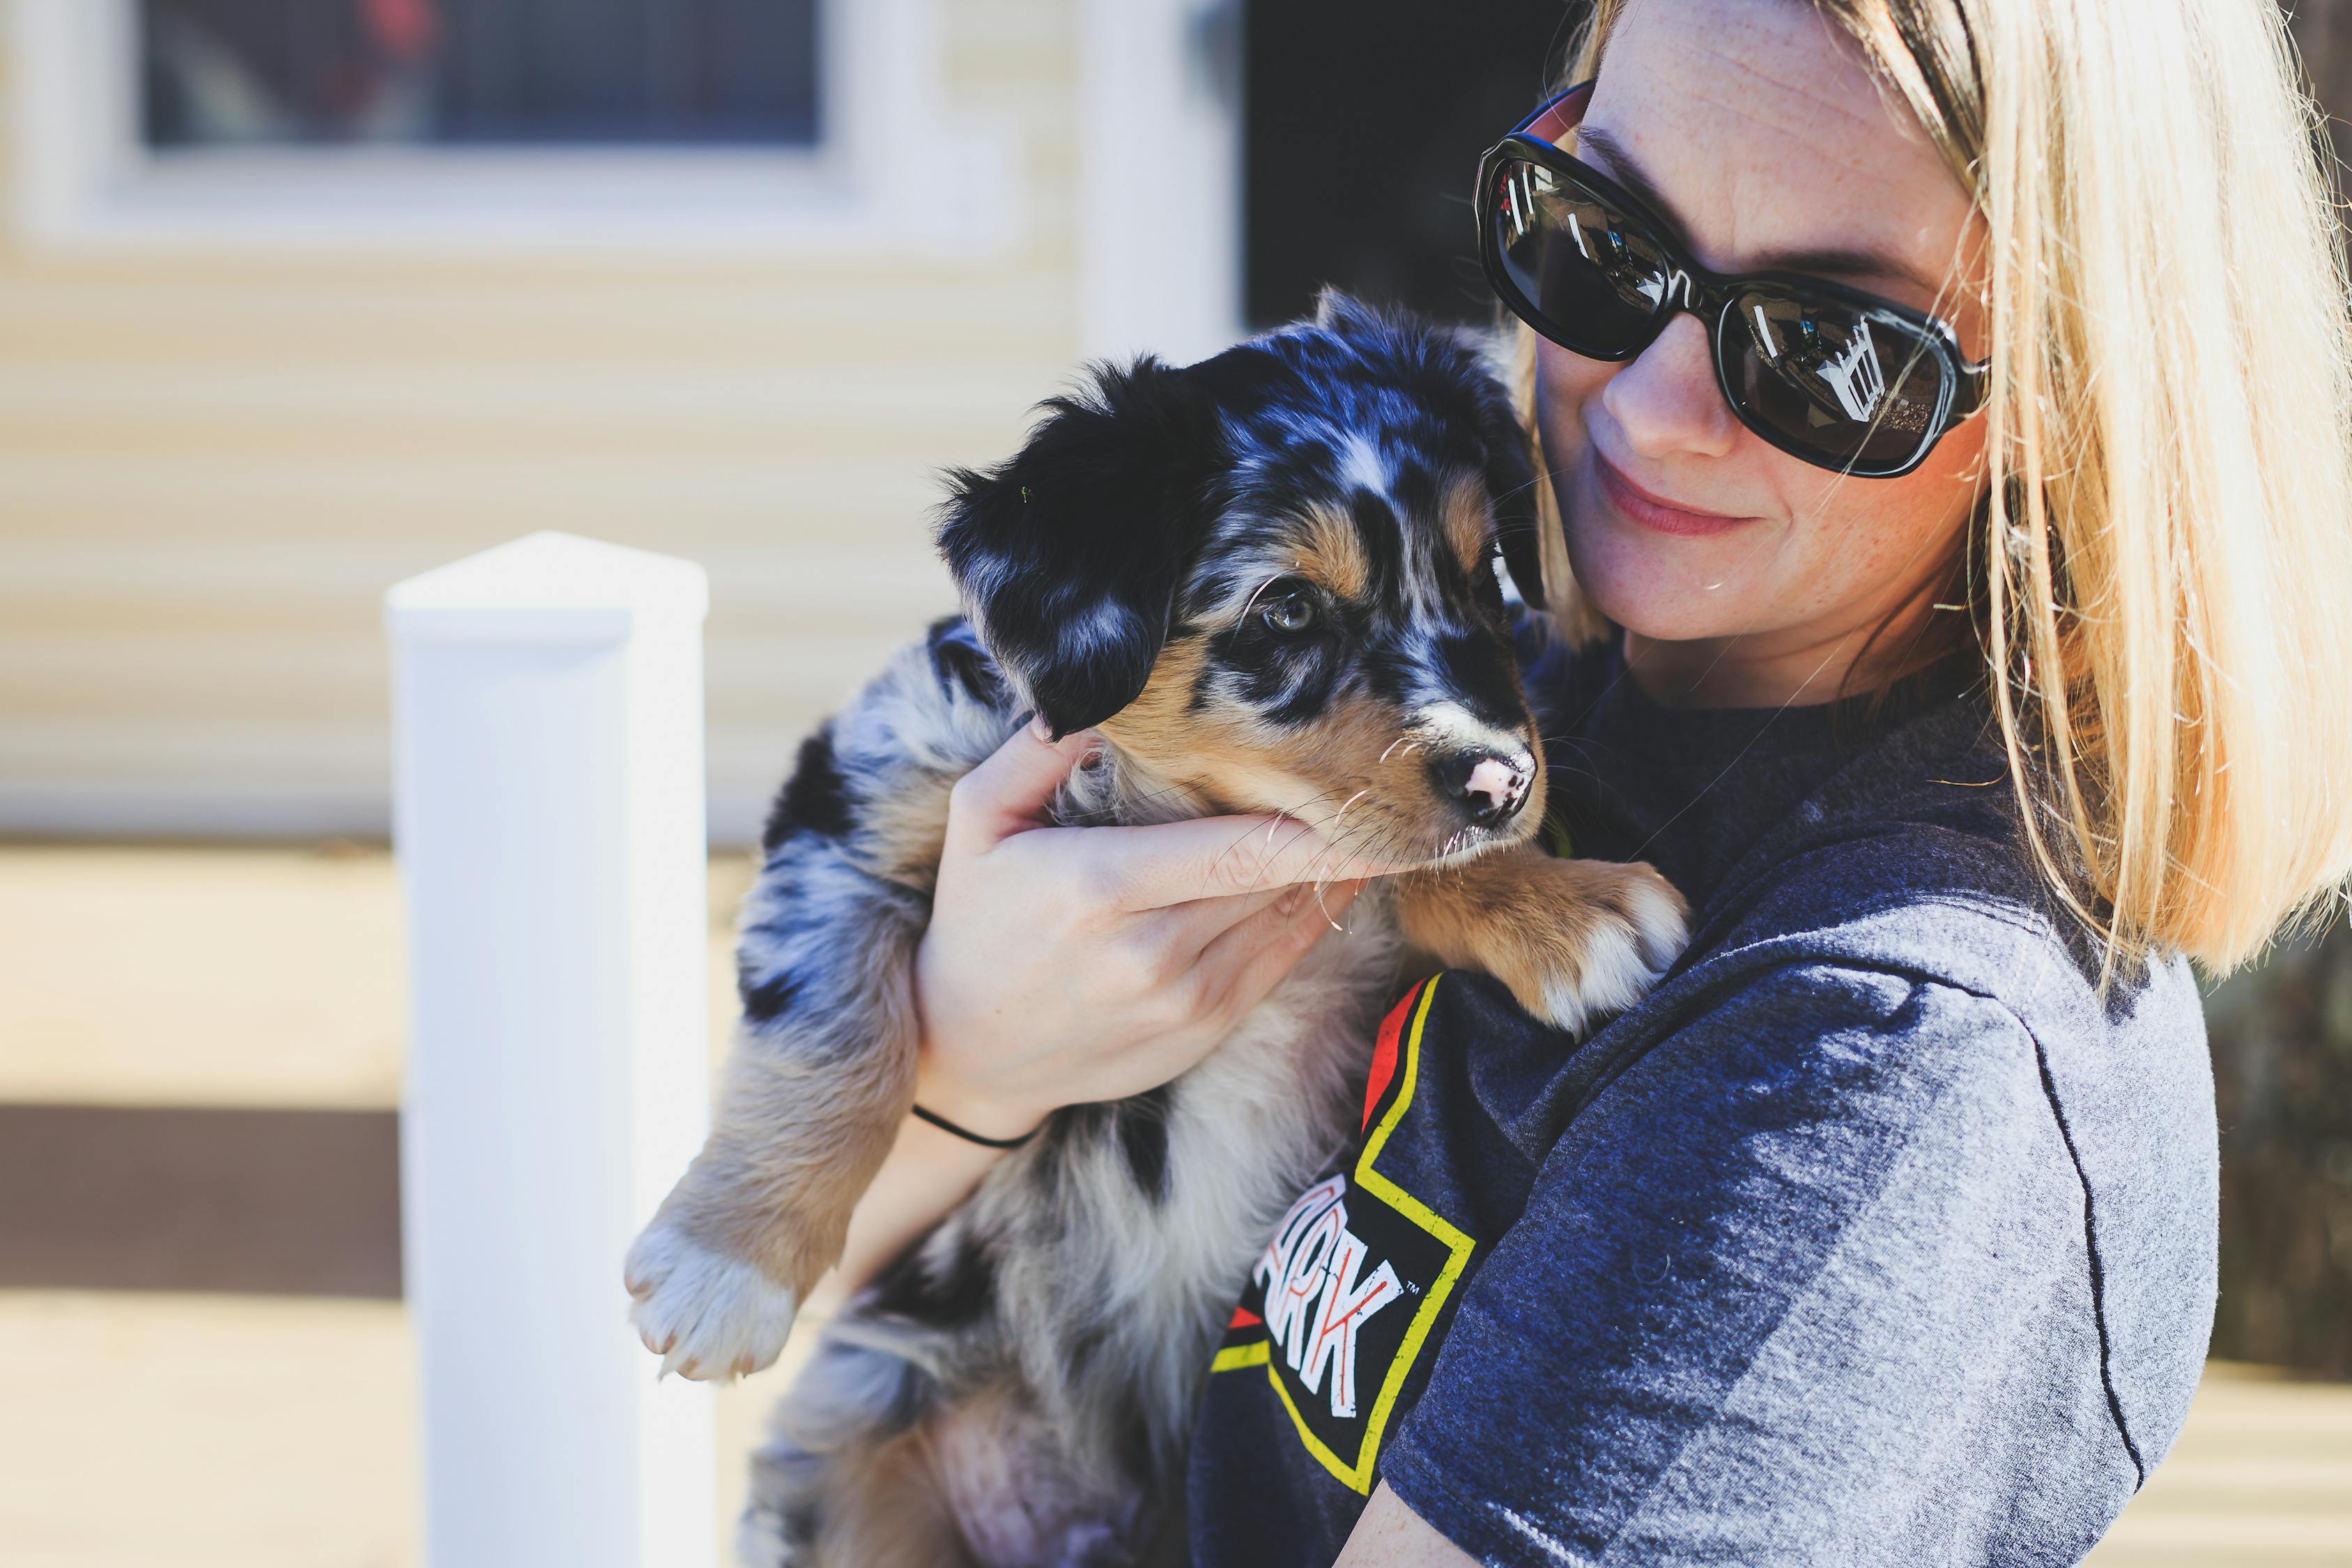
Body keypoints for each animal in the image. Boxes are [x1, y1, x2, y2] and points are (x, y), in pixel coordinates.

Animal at [625, 297, 1693, 1568]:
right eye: (1286, 606)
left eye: (1484, 572)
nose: (1504, 783)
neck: (1178, 806)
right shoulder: (859, 798)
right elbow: (831, 1041)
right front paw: (727, 1262)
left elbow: (1397, 864)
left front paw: (1560, 901)